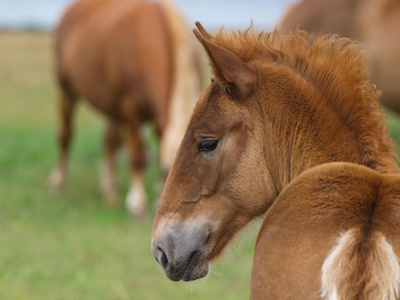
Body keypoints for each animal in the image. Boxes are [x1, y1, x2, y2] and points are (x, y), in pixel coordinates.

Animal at [50, 0, 203, 217]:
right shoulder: (131, 111)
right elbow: (138, 156)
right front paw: (137, 203)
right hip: (67, 91)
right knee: (66, 135)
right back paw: (59, 181)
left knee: (110, 141)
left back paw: (108, 186)